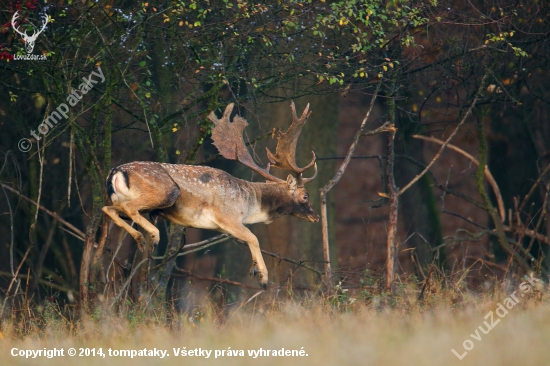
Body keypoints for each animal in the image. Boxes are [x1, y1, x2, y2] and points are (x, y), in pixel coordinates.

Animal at [102, 102, 322, 288]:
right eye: (305, 196)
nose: (316, 216)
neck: (250, 204)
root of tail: (115, 173)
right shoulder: (228, 217)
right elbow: (253, 237)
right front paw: (263, 278)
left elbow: (248, 238)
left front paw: (253, 269)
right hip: (165, 192)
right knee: (129, 207)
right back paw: (153, 236)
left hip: (119, 201)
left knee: (108, 208)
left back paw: (140, 238)